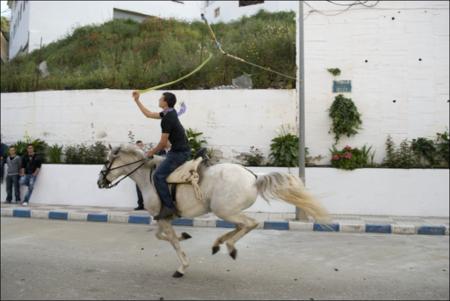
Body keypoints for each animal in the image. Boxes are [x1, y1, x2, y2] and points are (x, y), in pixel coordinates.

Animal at [97, 144, 330, 278]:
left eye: (107, 161)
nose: (100, 182)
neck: (149, 176)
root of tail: (254, 177)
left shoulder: (162, 217)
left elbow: (170, 240)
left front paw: (182, 266)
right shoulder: (164, 218)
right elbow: (163, 236)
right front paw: (185, 235)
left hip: (223, 210)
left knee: (250, 223)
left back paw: (229, 246)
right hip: (227, 210)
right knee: (242, 225)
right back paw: (220, 243)